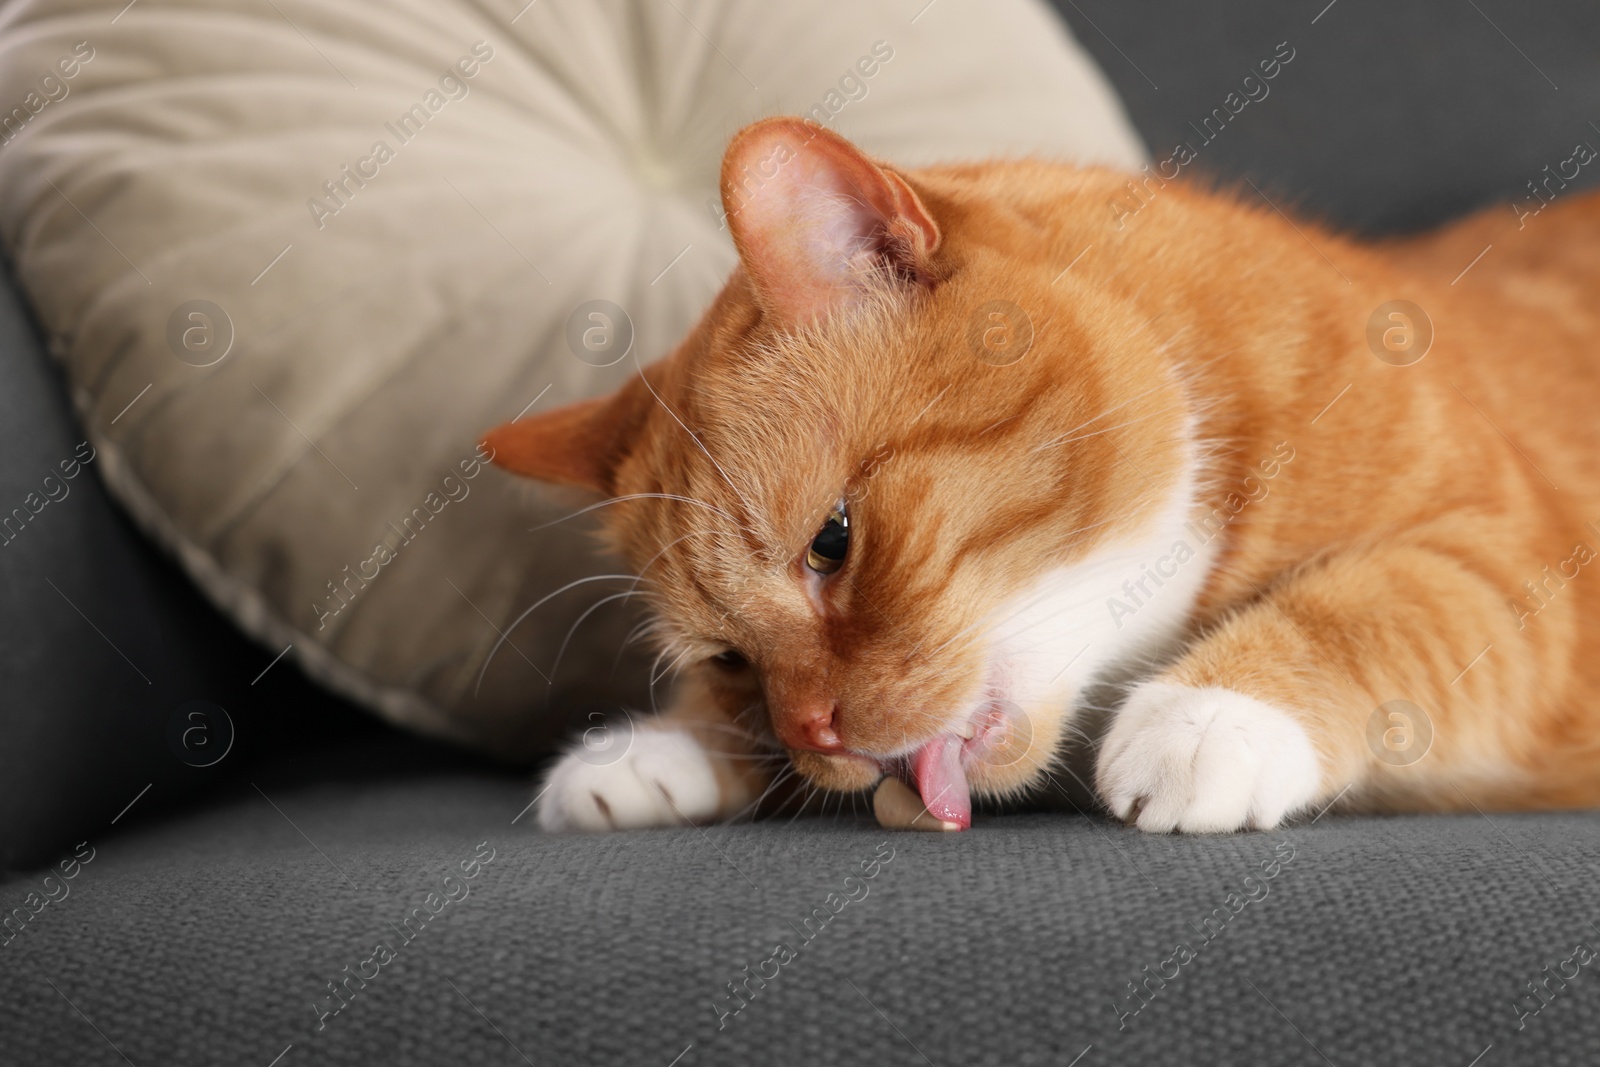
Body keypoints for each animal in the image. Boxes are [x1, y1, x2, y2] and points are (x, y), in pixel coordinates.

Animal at [480, 116, 1600, 831]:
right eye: (727, 661)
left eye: (832, 544)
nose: (814, 732)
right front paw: (656, 750)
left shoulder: (1529, 566)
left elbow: (1382, 600)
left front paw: (1210, 714)